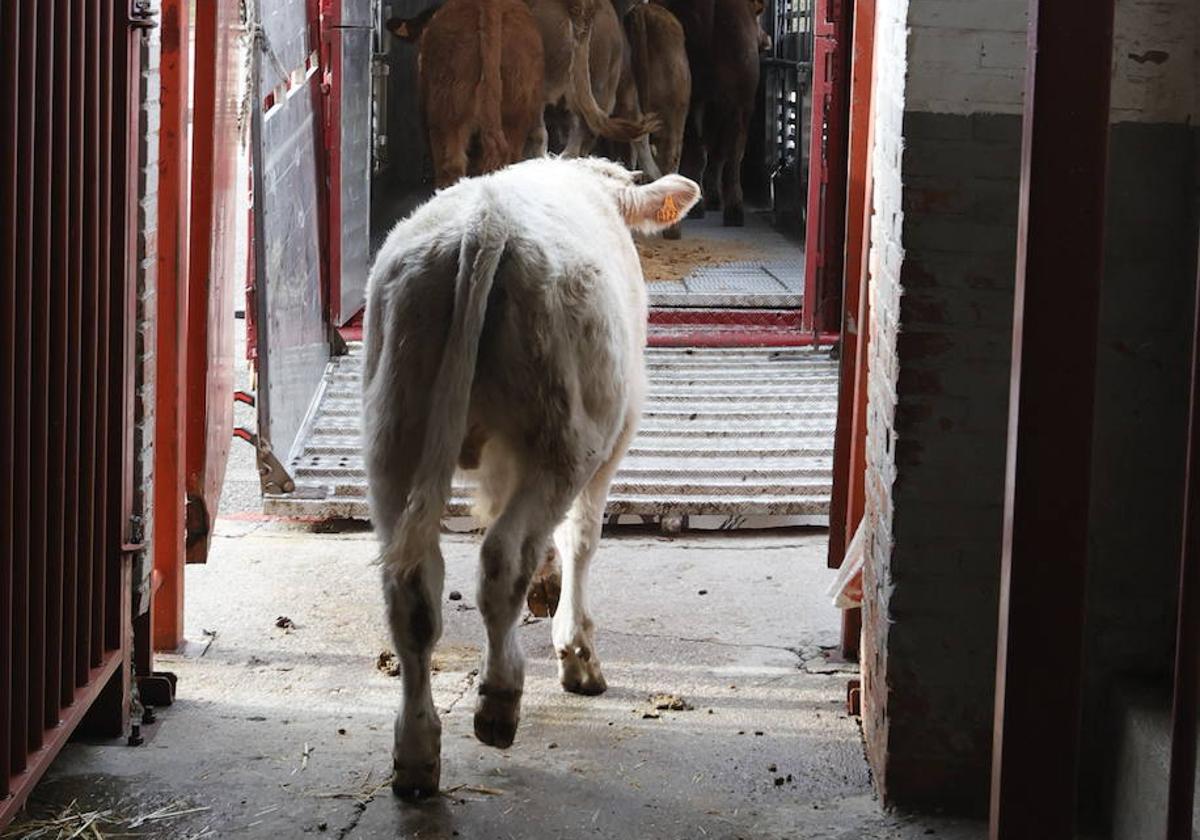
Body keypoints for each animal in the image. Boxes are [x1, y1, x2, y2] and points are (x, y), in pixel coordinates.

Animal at [364, 154, 700, 796]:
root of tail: (486, 223)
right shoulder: (611, 439)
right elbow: (581, 538)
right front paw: (576, 650)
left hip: (393, 435)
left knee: (412, 590)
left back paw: (415, 751)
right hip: (566, 441)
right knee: (502, 559)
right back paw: (499, 699)